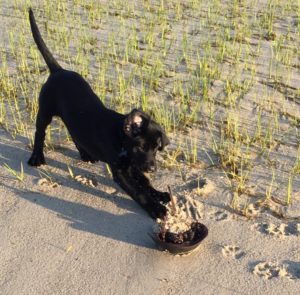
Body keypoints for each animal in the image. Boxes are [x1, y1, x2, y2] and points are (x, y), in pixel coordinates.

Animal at [28, 8, 171, 219]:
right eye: (141, 147)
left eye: (156, 148)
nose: (153, 168)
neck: (120, 139)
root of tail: (58, 71)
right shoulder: (122, 172)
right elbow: (139, 192)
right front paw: (156, 208)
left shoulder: (132, 165)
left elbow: (145, 184)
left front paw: (159, 194)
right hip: (45, 110)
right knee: (40, 133)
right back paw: (37, 157)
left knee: (74, 131)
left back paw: (85, 153)